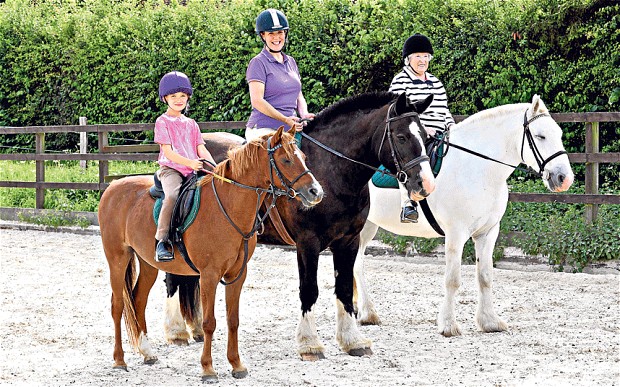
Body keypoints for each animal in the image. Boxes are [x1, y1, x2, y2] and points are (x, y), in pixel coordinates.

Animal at [97, 129, 324, 384]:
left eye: (303, 157)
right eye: (286, 160)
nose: (315, 192)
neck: (227, 206)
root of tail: (113, 187)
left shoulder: (237, 275)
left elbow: (233, 320)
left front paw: (237, 365)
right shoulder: (208, 276)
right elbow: (208, 323)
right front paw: (208, 369)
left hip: (148, 264)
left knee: (138, 301)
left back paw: (147, 352)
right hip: (117, 259)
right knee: (118, 306)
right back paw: (119, 360)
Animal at [165, 92, 434, 362]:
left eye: (425, 135)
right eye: (401, 137)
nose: (425, 184)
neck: (332, 172)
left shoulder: (349, 241)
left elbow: (345, 288)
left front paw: (352, 341)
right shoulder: (308, 243)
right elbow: (309, 290)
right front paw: (310, 344)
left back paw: (196, 330)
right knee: (172, 278)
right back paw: (176, 332)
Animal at [356, 96, 572, 336]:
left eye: (559, 134)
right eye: (540, 136)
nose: (564, 178)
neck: (477, 169)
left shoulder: (488, 233)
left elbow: (485, 276)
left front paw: (489, 321)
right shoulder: (456, 233)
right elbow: (452, 280)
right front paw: (448, 325)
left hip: (367, 225)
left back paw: (364, 313)